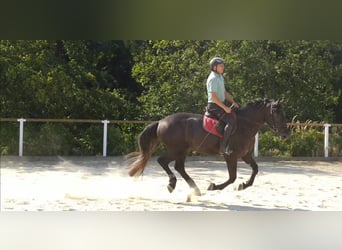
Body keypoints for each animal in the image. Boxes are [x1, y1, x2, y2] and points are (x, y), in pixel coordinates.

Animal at [128, 99, 288, 195]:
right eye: (277, 114)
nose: (286, 134)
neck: (244, 125)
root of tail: (161, 121)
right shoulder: (231, 156)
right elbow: (232, 177)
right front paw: (214, 186)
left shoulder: (245, 155)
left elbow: (255, 169)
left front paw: (244, 185)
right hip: (176, 149)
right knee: (162, 161)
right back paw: (172, 184)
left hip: (183, 150)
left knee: (179, 167)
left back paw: (195, 189)